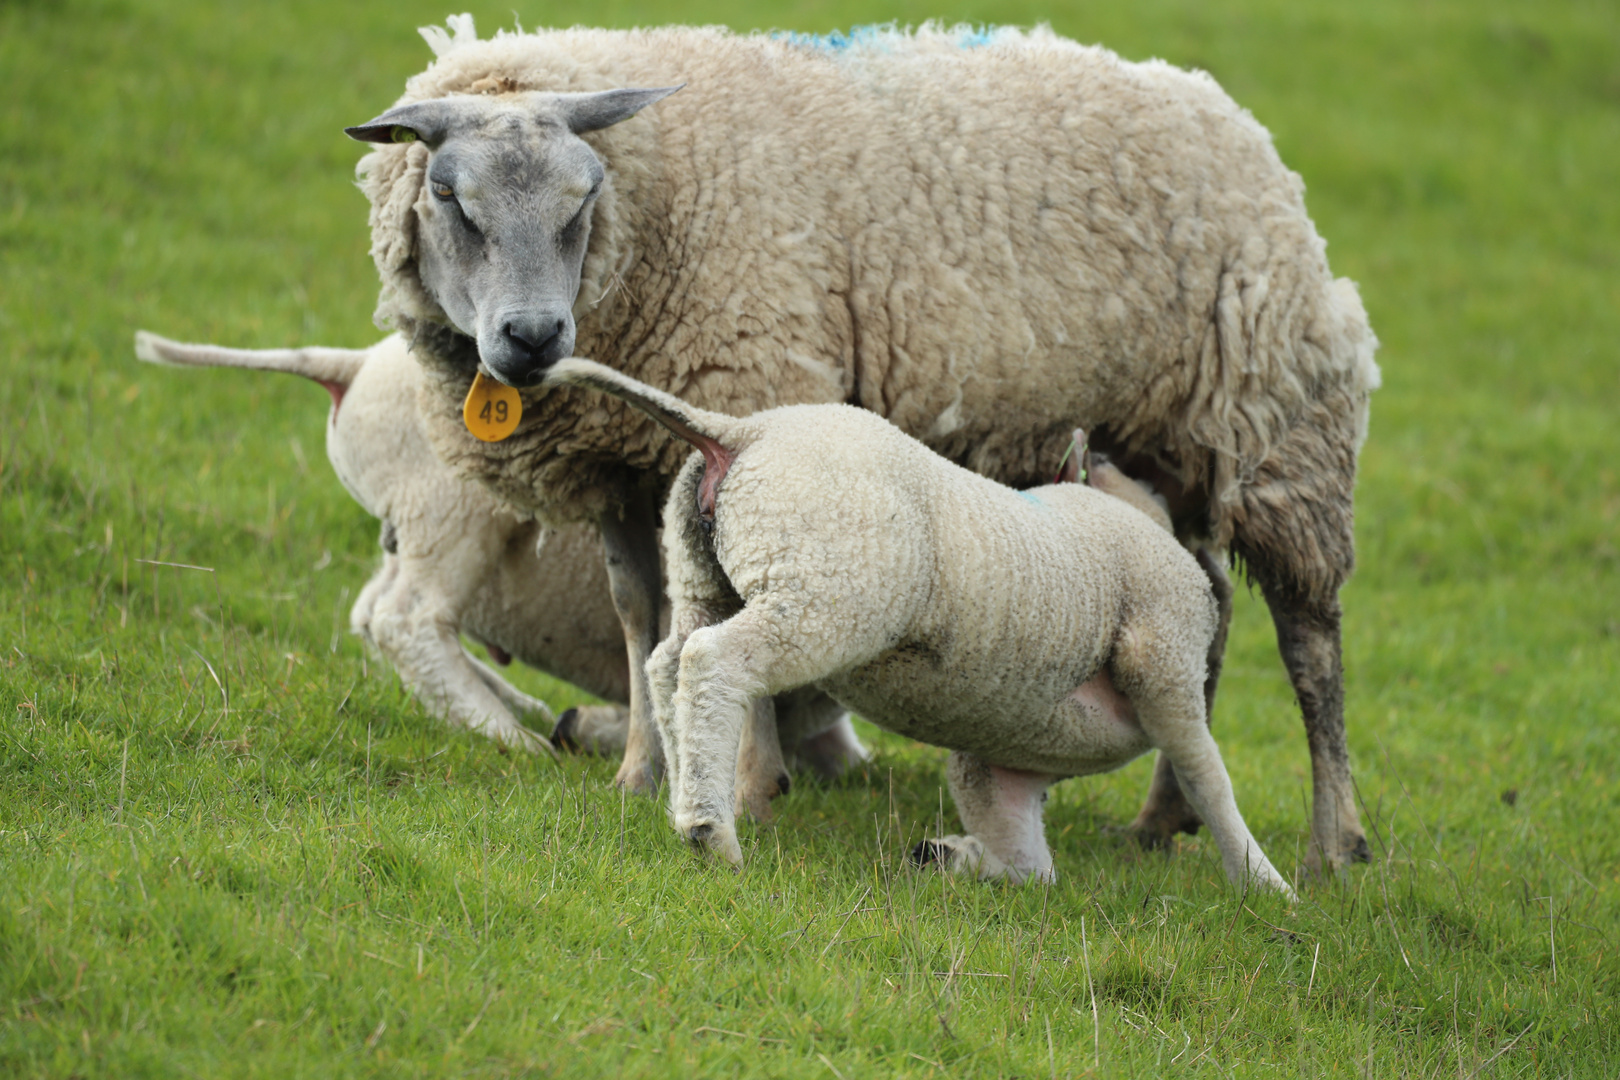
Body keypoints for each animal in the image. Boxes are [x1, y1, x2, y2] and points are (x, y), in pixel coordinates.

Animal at [345, 21, 1380, 874]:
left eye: (584, 196)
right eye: (449, 195)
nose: (533, 338)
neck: (658, 215)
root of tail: (1222, 107)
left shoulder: (751, 389)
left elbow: (708, 634)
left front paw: (751, 782)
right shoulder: (619, 469)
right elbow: (642, 618)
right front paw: (641, 770)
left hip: (1278, 429)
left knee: (1309, 641)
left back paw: (1334, 843)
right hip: (1169, 448)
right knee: (1208, 611)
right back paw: (1162, 820)